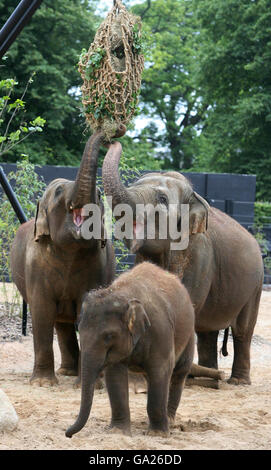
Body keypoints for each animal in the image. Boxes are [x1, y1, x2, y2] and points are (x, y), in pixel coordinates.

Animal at [10, 129, 116, 386]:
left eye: (99, 195)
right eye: (58, 192)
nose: (110, 135)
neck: (70, 251)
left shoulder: (97, 267)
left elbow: (87, 311)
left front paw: (92, 385)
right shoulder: (35, 267)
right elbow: (42, 311)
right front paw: (42, 384)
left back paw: (70, 373)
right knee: (59, 322)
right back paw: (65, 373)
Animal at [66, 260, 197, 436]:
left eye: (109, 336)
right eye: (78, 329)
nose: (68, 434)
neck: (122, 293)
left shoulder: (160, 330)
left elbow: (161, 369)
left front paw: (157, 434)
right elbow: (115, 375)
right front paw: (118, 431)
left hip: (189, 335)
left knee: (178, 373)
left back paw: (170, 421)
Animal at [101, 140, 264, 386]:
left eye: (162, 199)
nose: (113, 139)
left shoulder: (201, 255)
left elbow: (187, 301)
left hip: (255, 285)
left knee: (243, 330)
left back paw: (236, 381)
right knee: (207, 334)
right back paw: (207, 377)